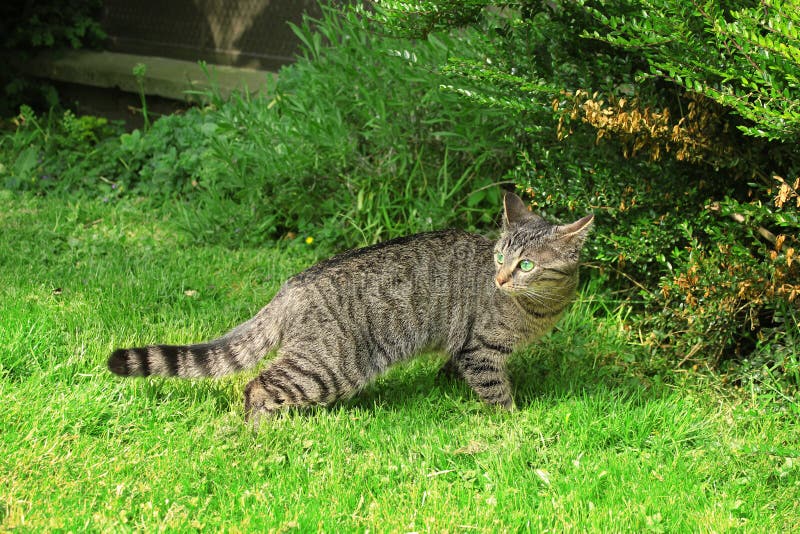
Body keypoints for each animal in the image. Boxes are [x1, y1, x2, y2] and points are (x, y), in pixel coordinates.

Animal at [109, 193, 592, 422]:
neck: (541, 309)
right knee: (256, 386)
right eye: (499, 257)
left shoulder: (462, 348)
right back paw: (261, 430)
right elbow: (496, 392)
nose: (500, 278)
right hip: (329, 367)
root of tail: (292, 285)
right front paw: (515, 422)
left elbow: (453, 368)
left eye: (525, 264)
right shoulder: (480, 349)